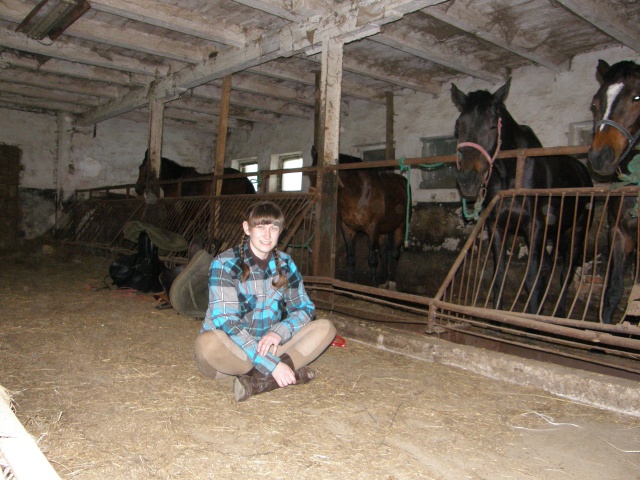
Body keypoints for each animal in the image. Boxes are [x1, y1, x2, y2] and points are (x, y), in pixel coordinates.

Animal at [311, 146, 409, 289]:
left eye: (324, 177)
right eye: (310, 174)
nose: (314, 208)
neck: (358, 193)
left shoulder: (372, 229)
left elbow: (372, 259)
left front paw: (373, 284)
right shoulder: (348, 229)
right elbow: (351, 257)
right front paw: (351, 283)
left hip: (400, 227)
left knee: (395, 254)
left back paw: (392, 283)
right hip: (384, 231)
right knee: (384, 253)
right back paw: (384, 281)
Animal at [451, 79, 593, 317]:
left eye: (493, 124)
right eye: (458, 126)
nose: (467, 180)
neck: (512, 173)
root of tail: (582, 171)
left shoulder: (534, 226)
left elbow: (531, 278)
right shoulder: (497, 226)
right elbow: (499, 275)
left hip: (576, 229)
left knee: (566, 271)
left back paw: (558, 313)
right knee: (549, 266)